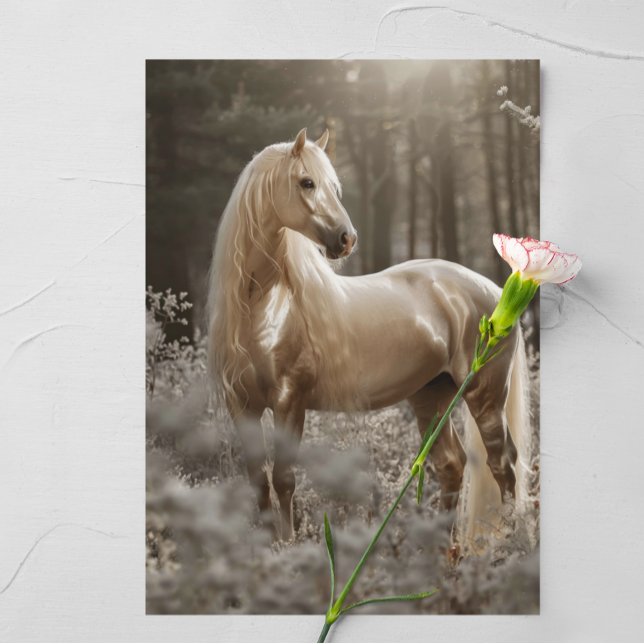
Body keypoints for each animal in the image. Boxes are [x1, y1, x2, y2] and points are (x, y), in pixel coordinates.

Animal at [207, 128, 531, 546]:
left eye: (333, 185)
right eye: (306, 182)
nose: (346, 239)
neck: (263, 308)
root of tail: (493, 289)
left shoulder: (289, 402)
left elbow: (283, 480)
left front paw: (290, 549)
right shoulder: (242, 406)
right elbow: (259, 482)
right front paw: (269, 549)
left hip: (485, 396)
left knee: (502, 463)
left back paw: (508, 543)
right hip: (432, 396)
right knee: (451, 464)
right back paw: (441, 551)